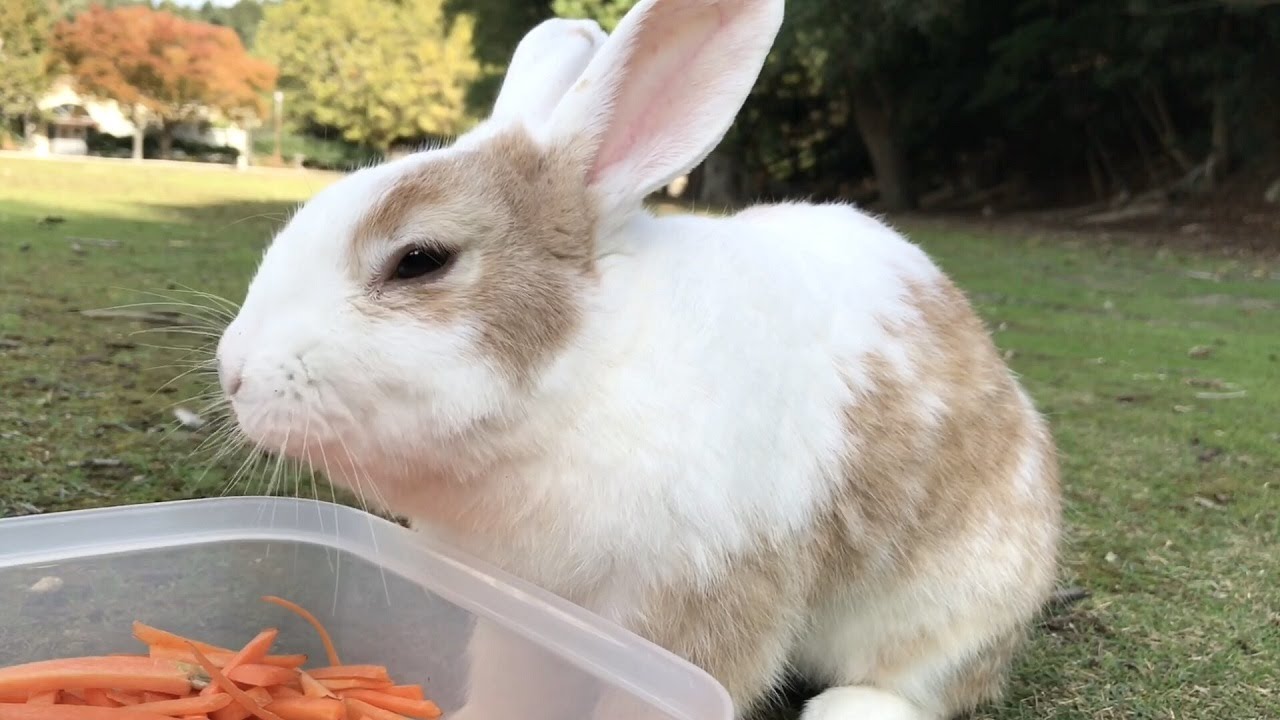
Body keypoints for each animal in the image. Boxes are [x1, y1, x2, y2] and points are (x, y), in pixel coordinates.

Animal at [215, 0, 1062, 718]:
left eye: (420, 260)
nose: (233, 374)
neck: (578, 378)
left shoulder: (698, 600)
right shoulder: (516, 608)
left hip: (949, 608)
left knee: (922, 683)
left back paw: (849, 707)